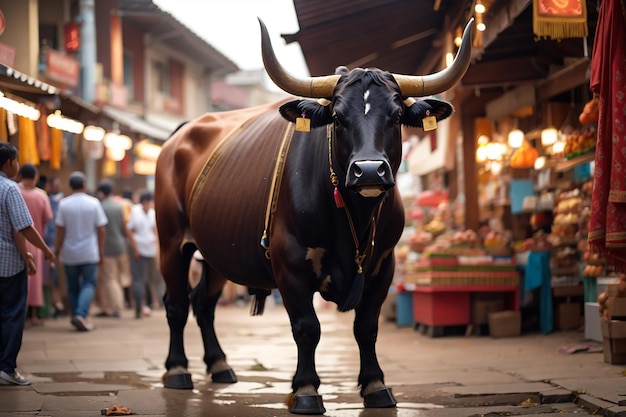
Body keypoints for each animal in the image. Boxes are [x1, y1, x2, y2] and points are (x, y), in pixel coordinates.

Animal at [154, 18, 470, 412]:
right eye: (337, 117)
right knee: (176, 304)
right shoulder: (289, 262)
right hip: (171, 242)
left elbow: (367, 327)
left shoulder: (384, 263)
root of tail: (179, 137)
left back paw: (220, 365)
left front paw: (376, 386)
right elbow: (307, 327)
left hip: (215, 253)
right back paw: (177, 370)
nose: (369, 171)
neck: (354, 219)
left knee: (203, 304)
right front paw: (305, 389)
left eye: (396, 115)